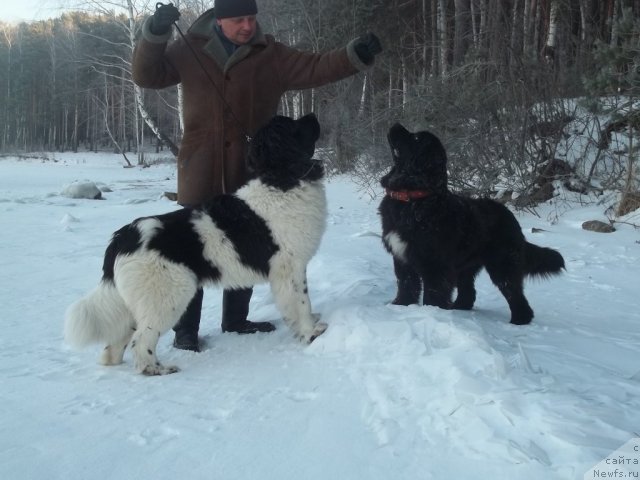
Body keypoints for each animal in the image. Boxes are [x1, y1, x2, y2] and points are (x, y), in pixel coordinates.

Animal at [65, 115, 330, 376]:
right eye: (293, 125)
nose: (314, 116)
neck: (281, 180)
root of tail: (123, 236)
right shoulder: (290, 268)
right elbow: (301, 303)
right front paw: (310, 333)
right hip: (167, 297)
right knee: (141, 340)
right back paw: (157, 369)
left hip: (138, 301)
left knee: (114, 345)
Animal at [380, 124, 564, 326]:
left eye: (415, 139)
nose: (396, 124)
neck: (414, 199)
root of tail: (509, 215)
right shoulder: (402, 257)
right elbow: (406, 284)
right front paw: (401, 306)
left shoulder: (435, 265)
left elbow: (434, 293)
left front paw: (433, 313)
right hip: (466, 265)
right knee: (469, 291)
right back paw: (459, 307)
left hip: (502, 264)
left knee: (514, 293)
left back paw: (519, 321)